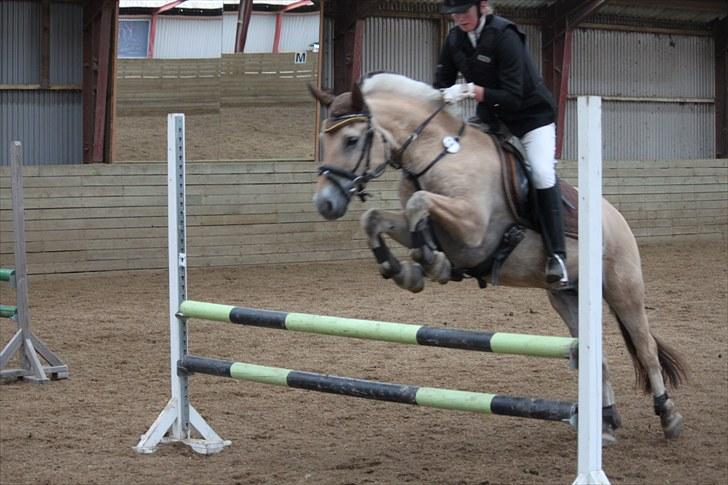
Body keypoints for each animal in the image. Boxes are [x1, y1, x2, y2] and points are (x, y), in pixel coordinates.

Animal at [310, 73, 684, 442]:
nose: (325, 204)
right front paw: (404, 269)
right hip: (567, 297)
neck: (439, 153)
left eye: (351, 140)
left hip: (624, 288)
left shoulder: (473, 227)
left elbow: (420, 202)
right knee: (597, 355)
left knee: (646, 348)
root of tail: (615, 216)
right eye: (323, 140)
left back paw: (667, 415)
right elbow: (376, 218)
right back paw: (605, 422)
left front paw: (430, 263)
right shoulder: (424, 225)